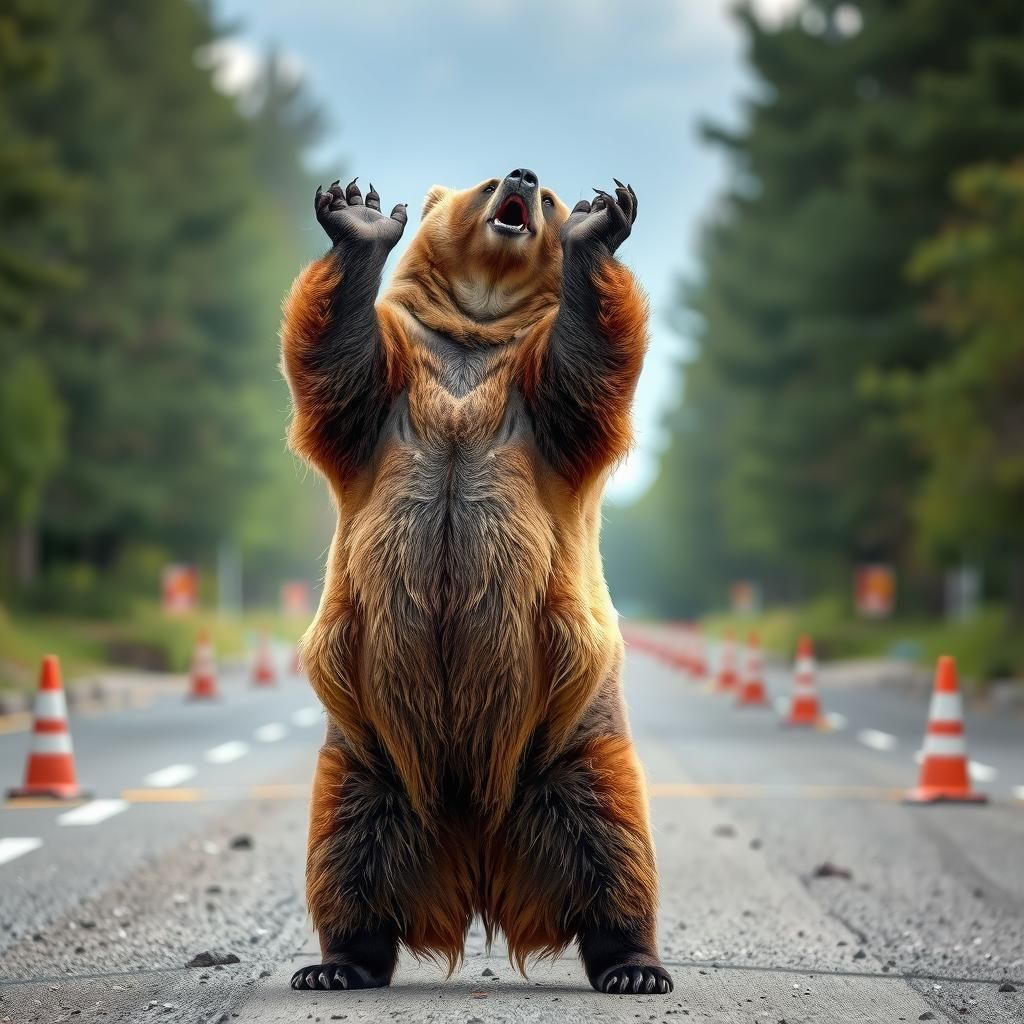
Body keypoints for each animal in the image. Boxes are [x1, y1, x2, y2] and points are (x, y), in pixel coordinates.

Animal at [280, 167, 670, 996]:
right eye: (489, 183)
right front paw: (358, 218)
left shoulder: (538, 406)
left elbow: (588, 366)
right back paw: (335, 964)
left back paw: (635, 965)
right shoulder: (391, 394)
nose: (523, 176)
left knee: (615, 848)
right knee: (345, 858)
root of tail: (477, 840)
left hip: (576, 749)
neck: (474, 336)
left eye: (546, 196)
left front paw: (599, 223)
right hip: (364, 763)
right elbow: (335, 365)